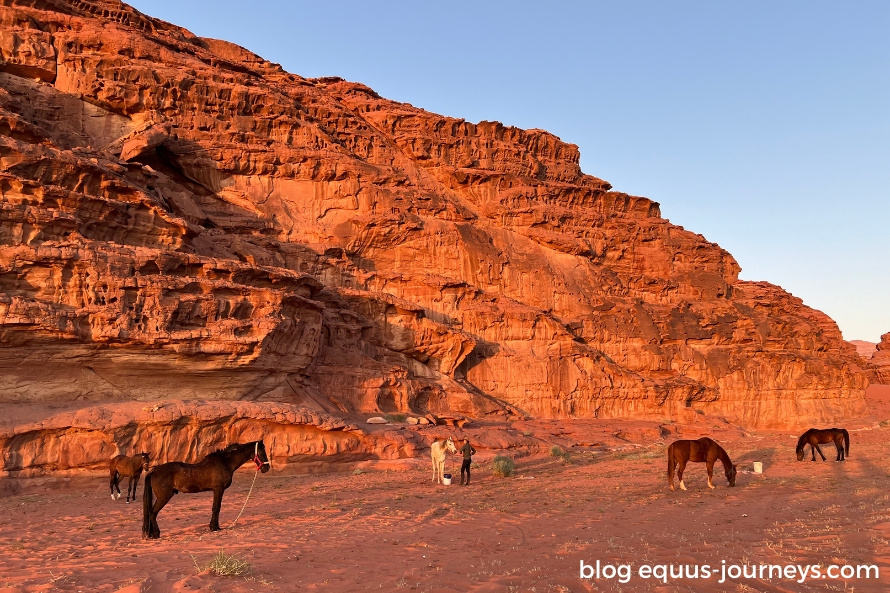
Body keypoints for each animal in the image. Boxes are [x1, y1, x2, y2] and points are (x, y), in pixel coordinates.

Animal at [142, 438, 270, 540]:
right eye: (262, 451)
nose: (267, 468)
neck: (225, 462)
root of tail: (155, 470)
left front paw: (214, 526)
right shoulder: (218, 489)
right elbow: (216, 508)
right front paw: (214, 527)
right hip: (163, 497)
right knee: (152, 513)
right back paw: (156, 534)